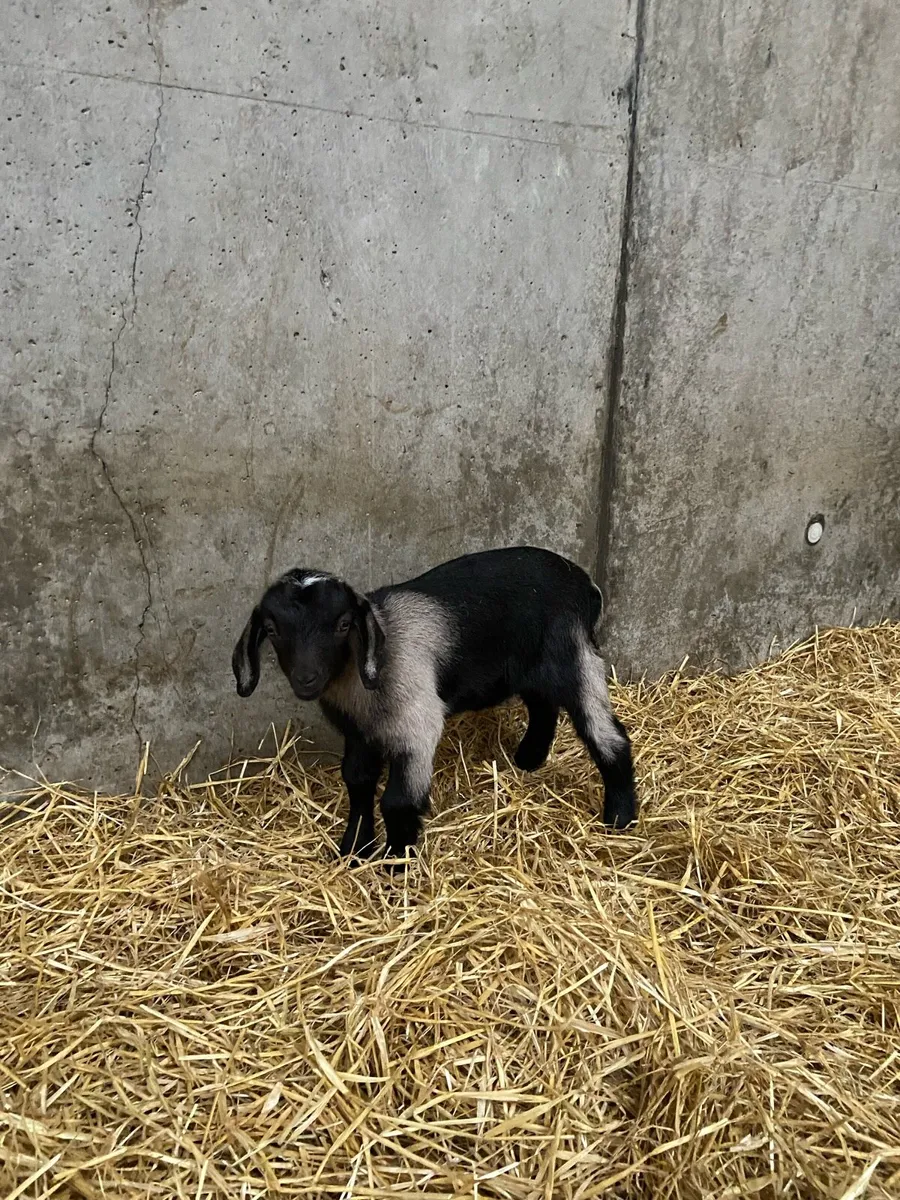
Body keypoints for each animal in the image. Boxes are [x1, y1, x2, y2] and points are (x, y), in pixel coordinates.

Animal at [232, 546, 637, 863]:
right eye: (271, 629)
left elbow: (397, 802)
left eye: (344, 624)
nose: (306, 678)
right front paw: (354, 851)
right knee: (543, 707)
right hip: (530, 666)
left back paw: (620, 817)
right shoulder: (360, 734)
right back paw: (528, 759)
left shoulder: (417, 725)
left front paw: (396, 864)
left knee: (607, 735)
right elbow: (357, 782)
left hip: (573, 657)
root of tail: (585, 584)